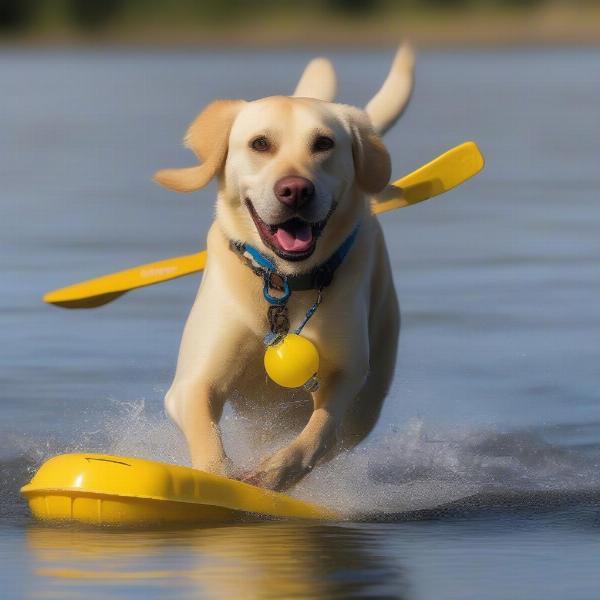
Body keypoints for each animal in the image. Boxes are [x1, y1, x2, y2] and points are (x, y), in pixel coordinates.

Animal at [157, 44, 414, 490]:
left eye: (324, 143)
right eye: (260, 143)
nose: (295, 190)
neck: (284, 283)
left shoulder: (346, 372)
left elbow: (319, 431)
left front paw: (275, 472)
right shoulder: (192, 383)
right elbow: (204, 428)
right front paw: (216, 476)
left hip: (371, 392)